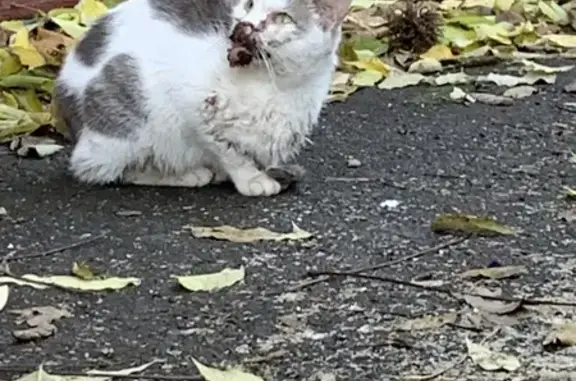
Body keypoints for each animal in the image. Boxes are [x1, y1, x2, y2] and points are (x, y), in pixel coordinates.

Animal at [54, 0, 352, 196]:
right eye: (249, 4)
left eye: (282, 18)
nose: (244, 25)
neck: (275, 84)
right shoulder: (196, 107)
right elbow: (229, 150)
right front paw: (251, 179)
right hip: (124, 125)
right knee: (102, 169)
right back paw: (185, 174)